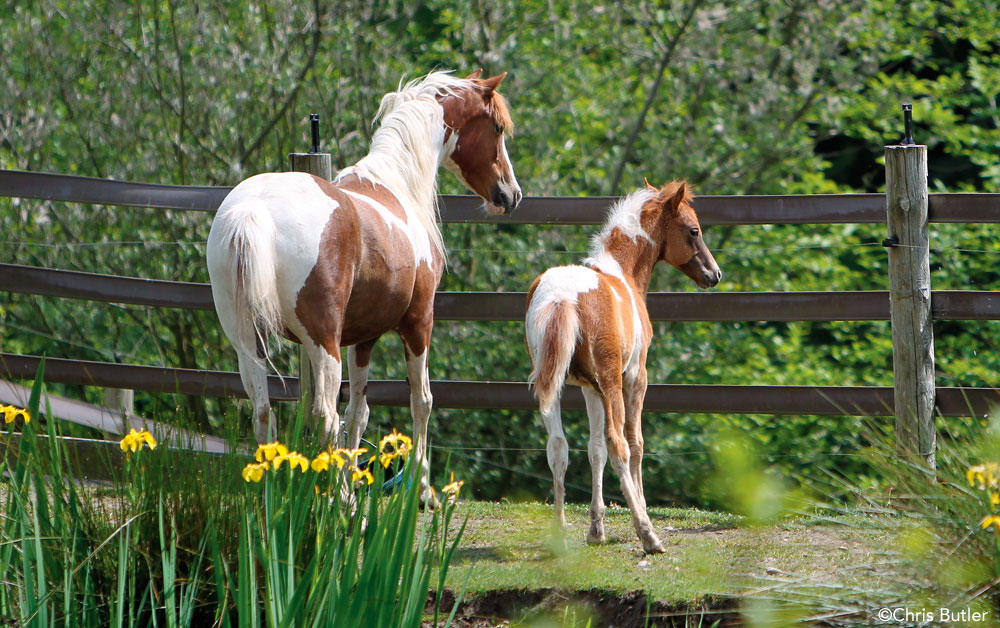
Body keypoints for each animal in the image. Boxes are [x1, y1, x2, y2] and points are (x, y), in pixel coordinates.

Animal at [211, 70, 524, 496]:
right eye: (497, 128)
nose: (510, 194)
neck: (393, 185)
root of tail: (252, 210)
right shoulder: (418, 322)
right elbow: (421, 399)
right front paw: (421, 488)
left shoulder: (364, 337)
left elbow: (358, 412)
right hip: (323, 342)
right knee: (324, 416)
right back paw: (338, 500)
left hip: (247, 339)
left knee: (263, 410)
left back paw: (273, 492)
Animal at [524, 179, 720, 552]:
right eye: (694, 230)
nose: (714, 274)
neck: (622, 272)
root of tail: (562, 297)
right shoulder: (634, 378)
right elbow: (635, 442)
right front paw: (640, 510)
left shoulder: (589, 388)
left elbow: (594, 449)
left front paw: (596, 529)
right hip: (613, 381)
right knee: (619, 445)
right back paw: (648, 535)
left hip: (553, 386)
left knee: (558, 446)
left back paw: (559, 534)